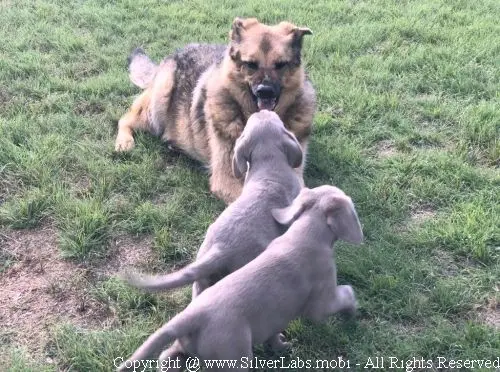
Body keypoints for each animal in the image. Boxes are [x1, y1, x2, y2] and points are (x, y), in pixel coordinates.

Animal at [115, 17, 314, 203]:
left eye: (281, 64)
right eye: (251, 64)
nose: (265, 91)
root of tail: (176, 52)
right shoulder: (227, 178)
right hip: (160, 100)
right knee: (125, 119)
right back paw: (124, 141)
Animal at [119, 186, 366, 372]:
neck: (306, 233)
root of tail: (191, 315)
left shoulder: (274, 319)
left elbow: (274, 335)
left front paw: (281, 346)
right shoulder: (321, 303)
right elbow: (345, 293)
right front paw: (353, 309)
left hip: (188, 345)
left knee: (167, 356)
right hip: (234, 357)